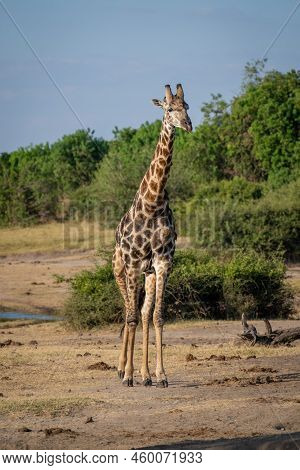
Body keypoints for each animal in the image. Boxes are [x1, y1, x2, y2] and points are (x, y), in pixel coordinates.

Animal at [112, 82, 192, 388]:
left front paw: (161, 375)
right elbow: (132, 317)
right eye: (168, 109)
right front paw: (128, 375)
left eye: (187, 106)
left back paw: (146, 375)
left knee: (143, 314)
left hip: (147, 274)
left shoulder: (162, 263)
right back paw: (122, 369)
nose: (188, 124)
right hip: (121, 271)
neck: (153, 202)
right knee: (127, 312)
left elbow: (157, 316)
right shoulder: (134, 263)